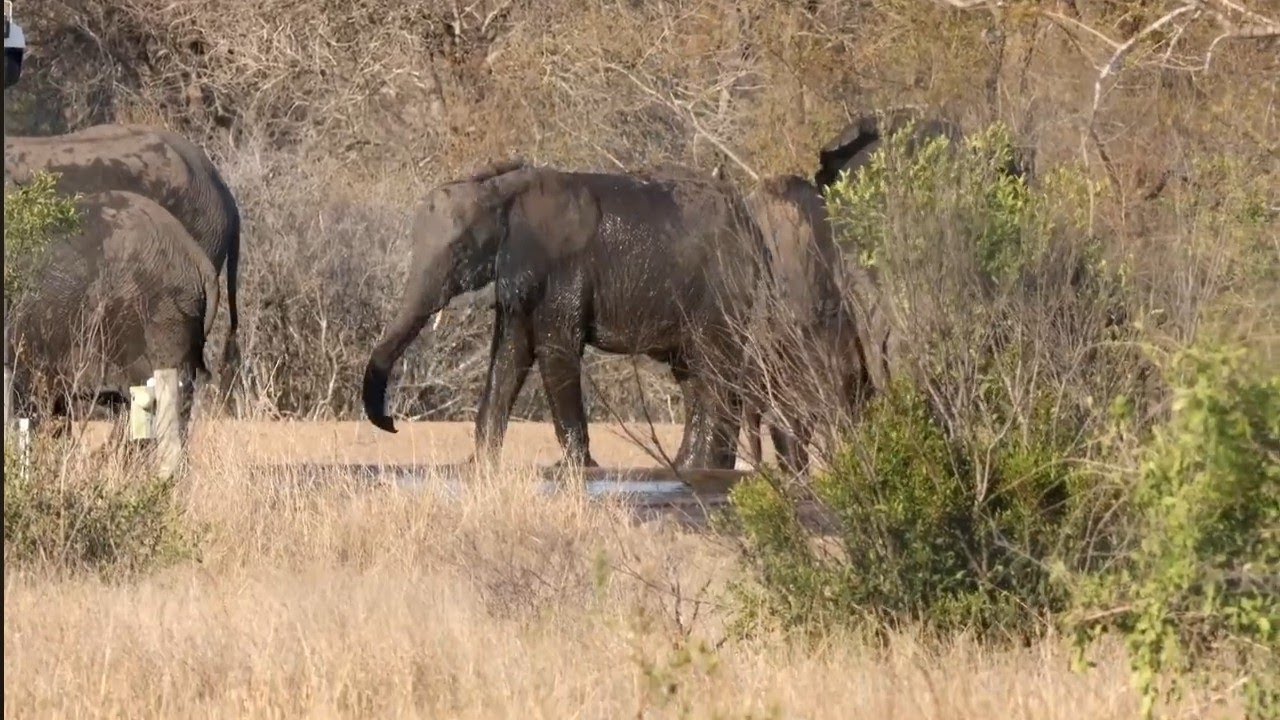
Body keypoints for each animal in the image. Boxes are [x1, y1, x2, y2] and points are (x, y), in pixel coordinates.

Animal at [362, 159, 769, 470]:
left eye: (460, 252)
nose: (393, 425)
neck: (500, 191)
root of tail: (751, 225)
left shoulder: (561, 272)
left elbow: (555, 352)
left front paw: (578, 468)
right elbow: (509, 356)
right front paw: (479, 465)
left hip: (724, 291)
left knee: (715, 371)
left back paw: (707, 469)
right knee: (692, 376)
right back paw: (686, 466)